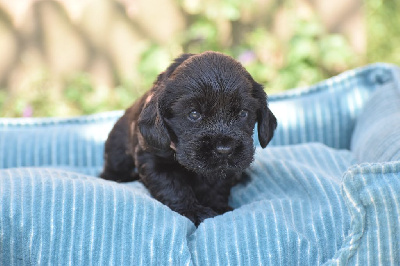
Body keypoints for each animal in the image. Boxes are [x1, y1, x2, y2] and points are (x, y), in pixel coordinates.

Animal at [100, 51, 276, 225]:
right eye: (194, 114)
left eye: (243, 113)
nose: (224, 149)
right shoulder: (153, 160)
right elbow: (173, 187)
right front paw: (193, 211)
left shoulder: (221, 170)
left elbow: (216, 186)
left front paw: (218, 207)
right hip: (118, 153)